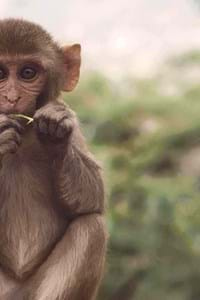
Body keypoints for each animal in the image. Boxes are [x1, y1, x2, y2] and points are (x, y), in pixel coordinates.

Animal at [0, 18, 106, 300]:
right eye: (0, 74)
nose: (11, 97)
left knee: (91, 228)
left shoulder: (72, 118)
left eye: (28, 73)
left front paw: (55, 134)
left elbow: (94, 195)